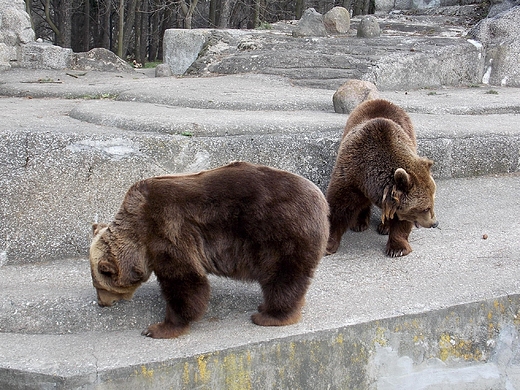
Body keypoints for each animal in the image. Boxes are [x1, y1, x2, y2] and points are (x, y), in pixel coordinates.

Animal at [87, 161, 328, 338]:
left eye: (100, 285)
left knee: (282, 277)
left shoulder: (167, 227)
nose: (101, 304)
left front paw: (158, 328)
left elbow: (185, 280)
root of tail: (321, 200)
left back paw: (269, 316)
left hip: (281, 232)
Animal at [328, 97, 436, 258]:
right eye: (425, 208)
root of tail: (380, 100)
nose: (434, 223)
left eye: (432, 204)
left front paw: (397, 248)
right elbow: (339, 207)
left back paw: (384, 227)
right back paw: (359, 223)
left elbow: (401, 220)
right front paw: (328, 244)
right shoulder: (350, 175)